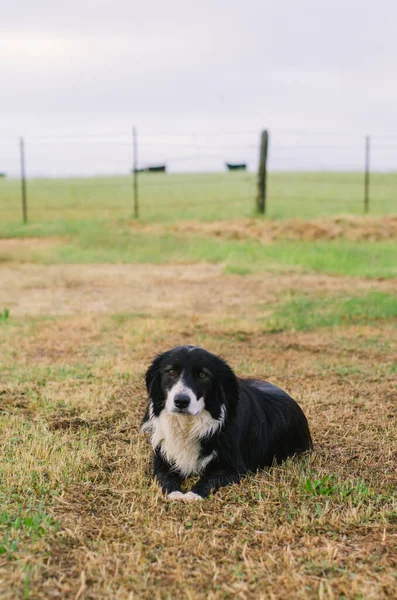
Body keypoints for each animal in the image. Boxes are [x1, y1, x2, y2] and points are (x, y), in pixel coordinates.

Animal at [141, 346, 310, 502]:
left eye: (202, 375)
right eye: (171, 372)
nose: (181, 401)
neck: (189, 425)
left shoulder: (235, 468)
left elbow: (209, 479)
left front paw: (193, 494)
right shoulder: (161, 459)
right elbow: (164, 478)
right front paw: (175, 494)